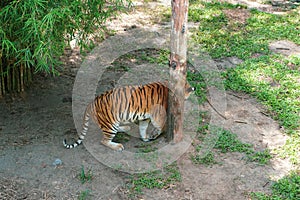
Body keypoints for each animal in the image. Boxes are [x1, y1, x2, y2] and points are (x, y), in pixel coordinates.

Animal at [63, 80, 195, 151]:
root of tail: (91, 103)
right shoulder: (158, 116)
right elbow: (162, 126)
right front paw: (154, 135)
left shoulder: (146, 117)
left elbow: (143, 128)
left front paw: (145, 138)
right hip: (110, 124)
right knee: (104, 140)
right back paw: (118, 146)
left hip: (112, 123)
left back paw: (126, 128)